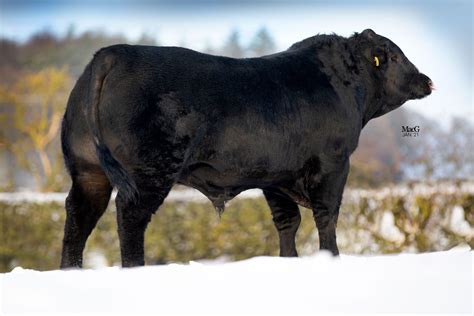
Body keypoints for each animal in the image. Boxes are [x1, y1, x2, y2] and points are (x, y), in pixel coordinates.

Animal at [60, 29, 434, 266]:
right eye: (395, 56)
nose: (428, 80)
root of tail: (113, 53)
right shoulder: (333, 164)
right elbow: (326, 216)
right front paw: (331, 259)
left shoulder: (277, 177)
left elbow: (287, 222)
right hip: (149, 171)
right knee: (131, 217)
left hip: (88, 172)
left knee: (78, 216)